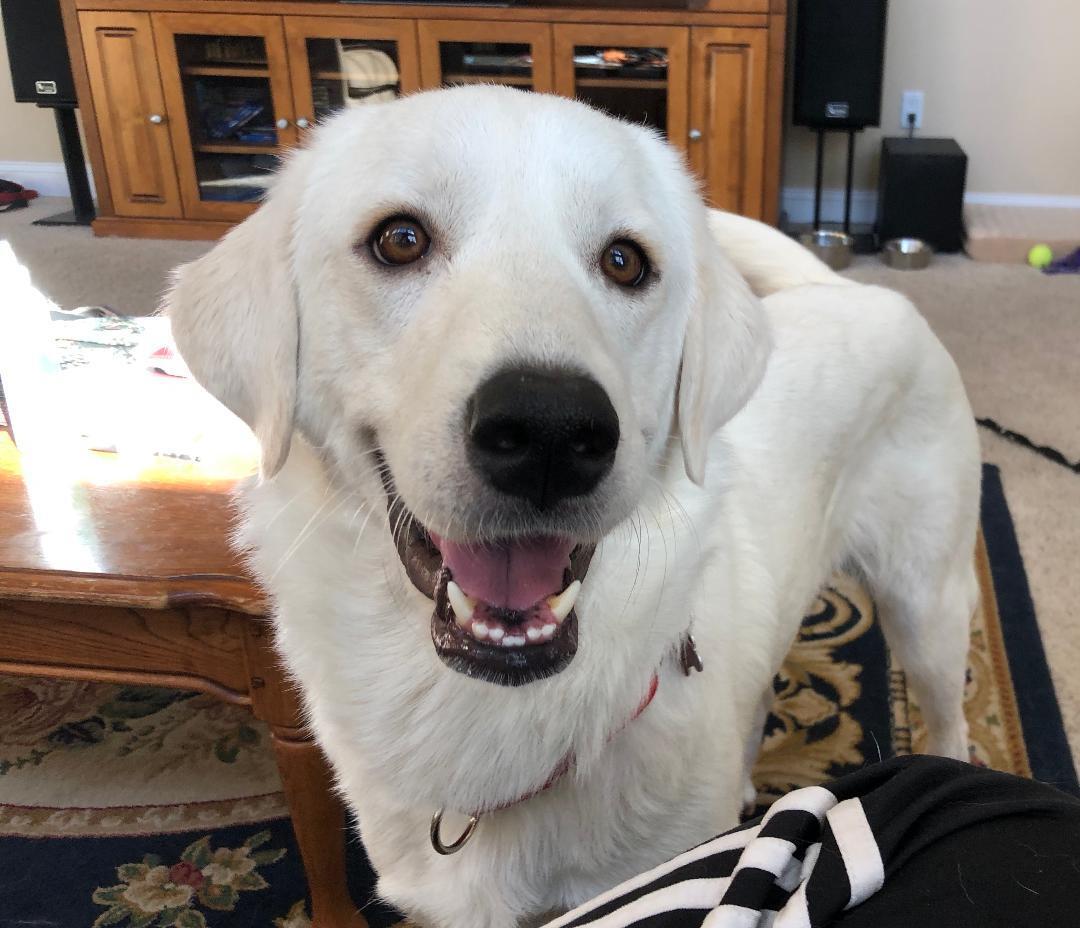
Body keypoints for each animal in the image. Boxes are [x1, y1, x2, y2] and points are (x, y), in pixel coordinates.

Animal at [166, 86, 980, 928]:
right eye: (399, 240)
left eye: (625, 261)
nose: (549, 432)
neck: (495, 712)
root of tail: (862, 288)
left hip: (928, 611)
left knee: (951, 722)